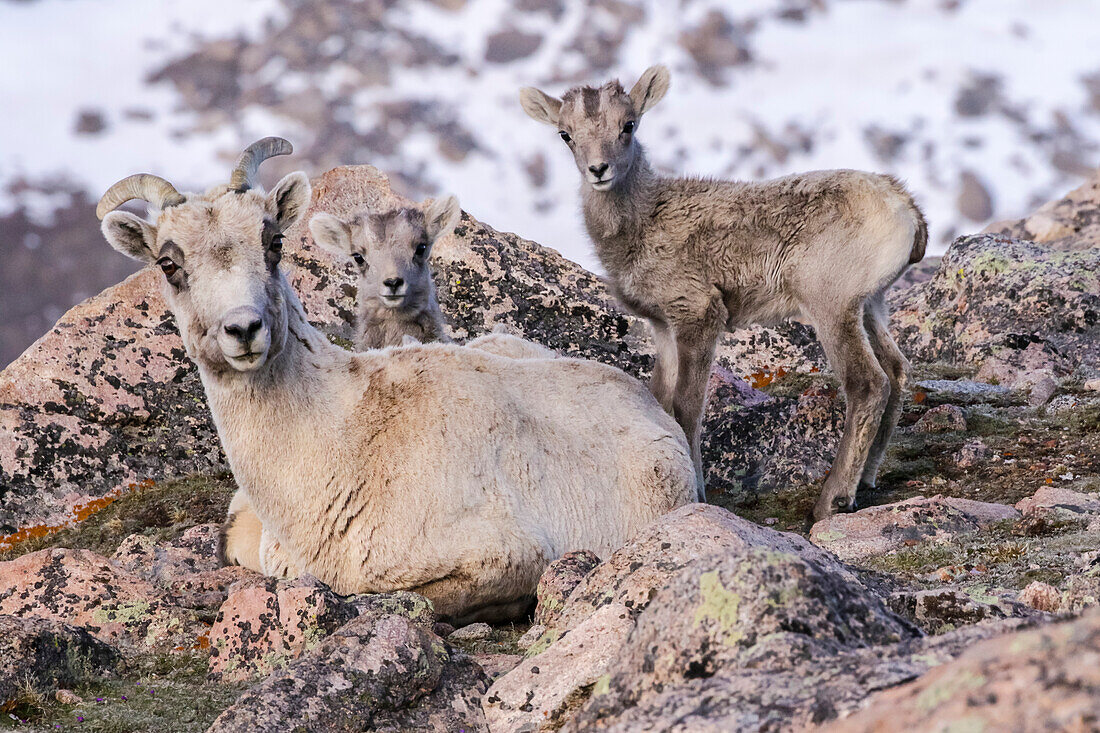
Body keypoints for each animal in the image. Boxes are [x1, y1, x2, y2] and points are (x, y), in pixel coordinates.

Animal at [519, 65, 924, 517]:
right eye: (565, 134)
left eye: (629, 124)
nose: (598, 169)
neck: (643, 225)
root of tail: (907, 209)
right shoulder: (664, 327)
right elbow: (661, 401)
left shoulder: (699, 313)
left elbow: (686, 409)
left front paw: (697, 494)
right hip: (870, 305)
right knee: (897, 370)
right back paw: (866, 481)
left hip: (831, 304)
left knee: (868, 384)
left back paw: (831, 501)